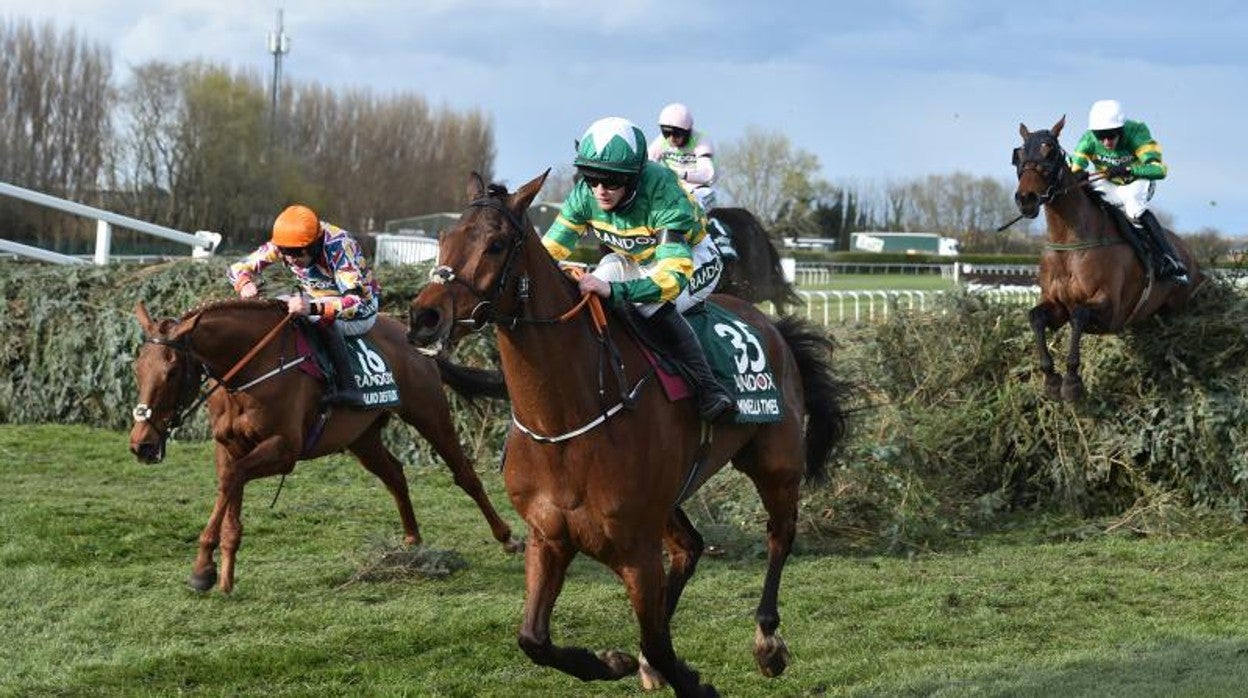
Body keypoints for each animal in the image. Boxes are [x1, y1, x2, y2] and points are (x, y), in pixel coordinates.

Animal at [134, 300, 524, 594]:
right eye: (138, 368)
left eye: (171, 372)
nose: (142, 445)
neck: (251, 371)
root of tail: (410, 338)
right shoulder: (229, 447)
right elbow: (230, 488)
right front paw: (222, 574)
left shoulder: (285, 450)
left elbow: (233, 480)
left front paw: (202, 569)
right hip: (362, 438)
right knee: (395, 476)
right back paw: (412, 542)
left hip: (429, 414)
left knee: (465, 474)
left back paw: (507, 538)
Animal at [409, 172, 848, 694]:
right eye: (442, 238)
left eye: (495, 245)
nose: (424, 316)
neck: (564, 422)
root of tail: (771, 324)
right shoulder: (548, 538)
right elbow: (533, 639)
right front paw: (613, 661)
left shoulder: (637, 551)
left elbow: (659, 642)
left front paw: (683, 677)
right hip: (670, 498)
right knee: (690, 548)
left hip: (774, 463)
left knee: (780, 535)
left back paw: (767, 642)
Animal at [1013, 114, 1198, 399]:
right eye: (1020, 154)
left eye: (1050, 151)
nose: (1026, 199)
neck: (1070, 243)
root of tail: (1187, 250)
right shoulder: (1056, 305)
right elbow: (1036, 317)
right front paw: (1051, 379)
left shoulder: (1112, 311)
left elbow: (1079, 315)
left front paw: (1072, 382)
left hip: (1177, 306)